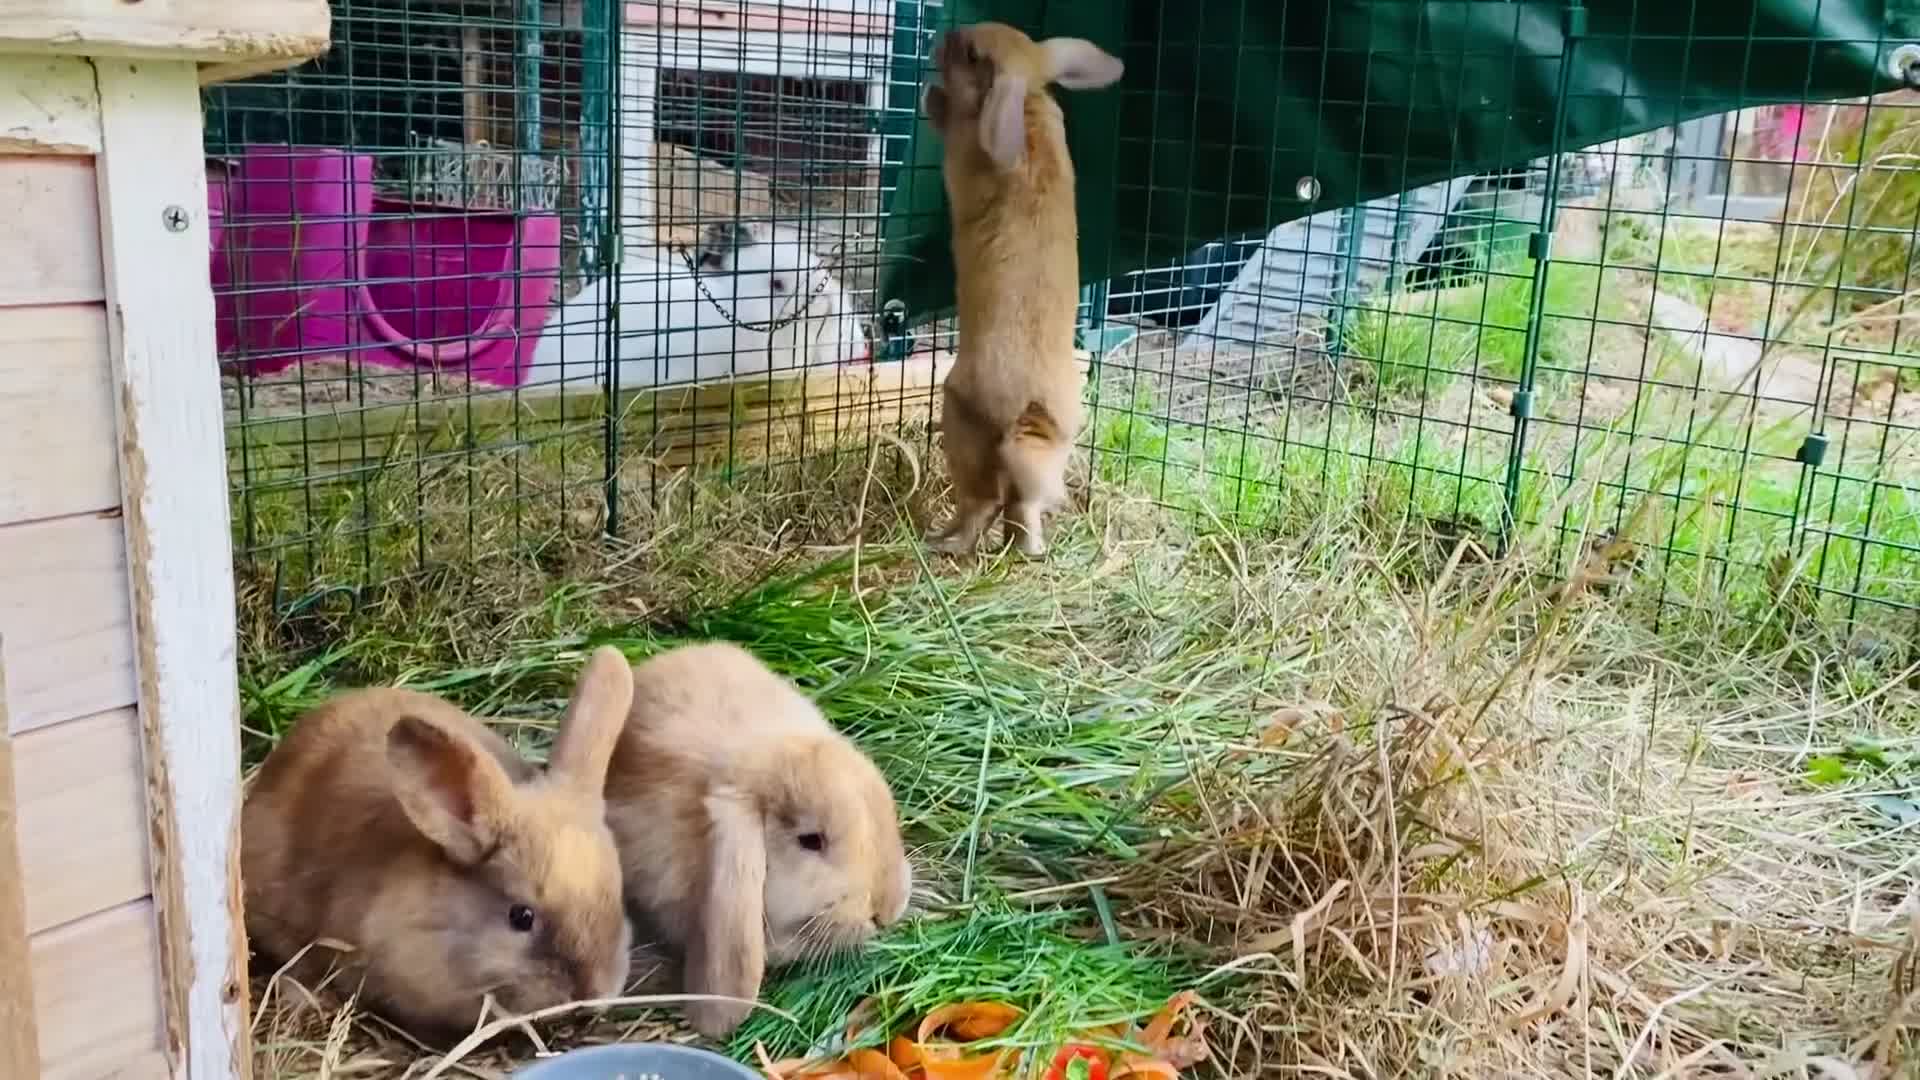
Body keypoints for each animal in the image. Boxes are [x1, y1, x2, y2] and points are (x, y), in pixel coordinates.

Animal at [920, 22, 1124, 557]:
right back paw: (1024, 551)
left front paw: (932, 94)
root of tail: (1029, 411)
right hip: (1045, 455)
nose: (945, 34)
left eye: (973, 54)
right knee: (1020, 509)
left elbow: (948, 118)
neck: (1026, 97)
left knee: (982, 503)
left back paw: (943, 544)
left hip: (961, 421)